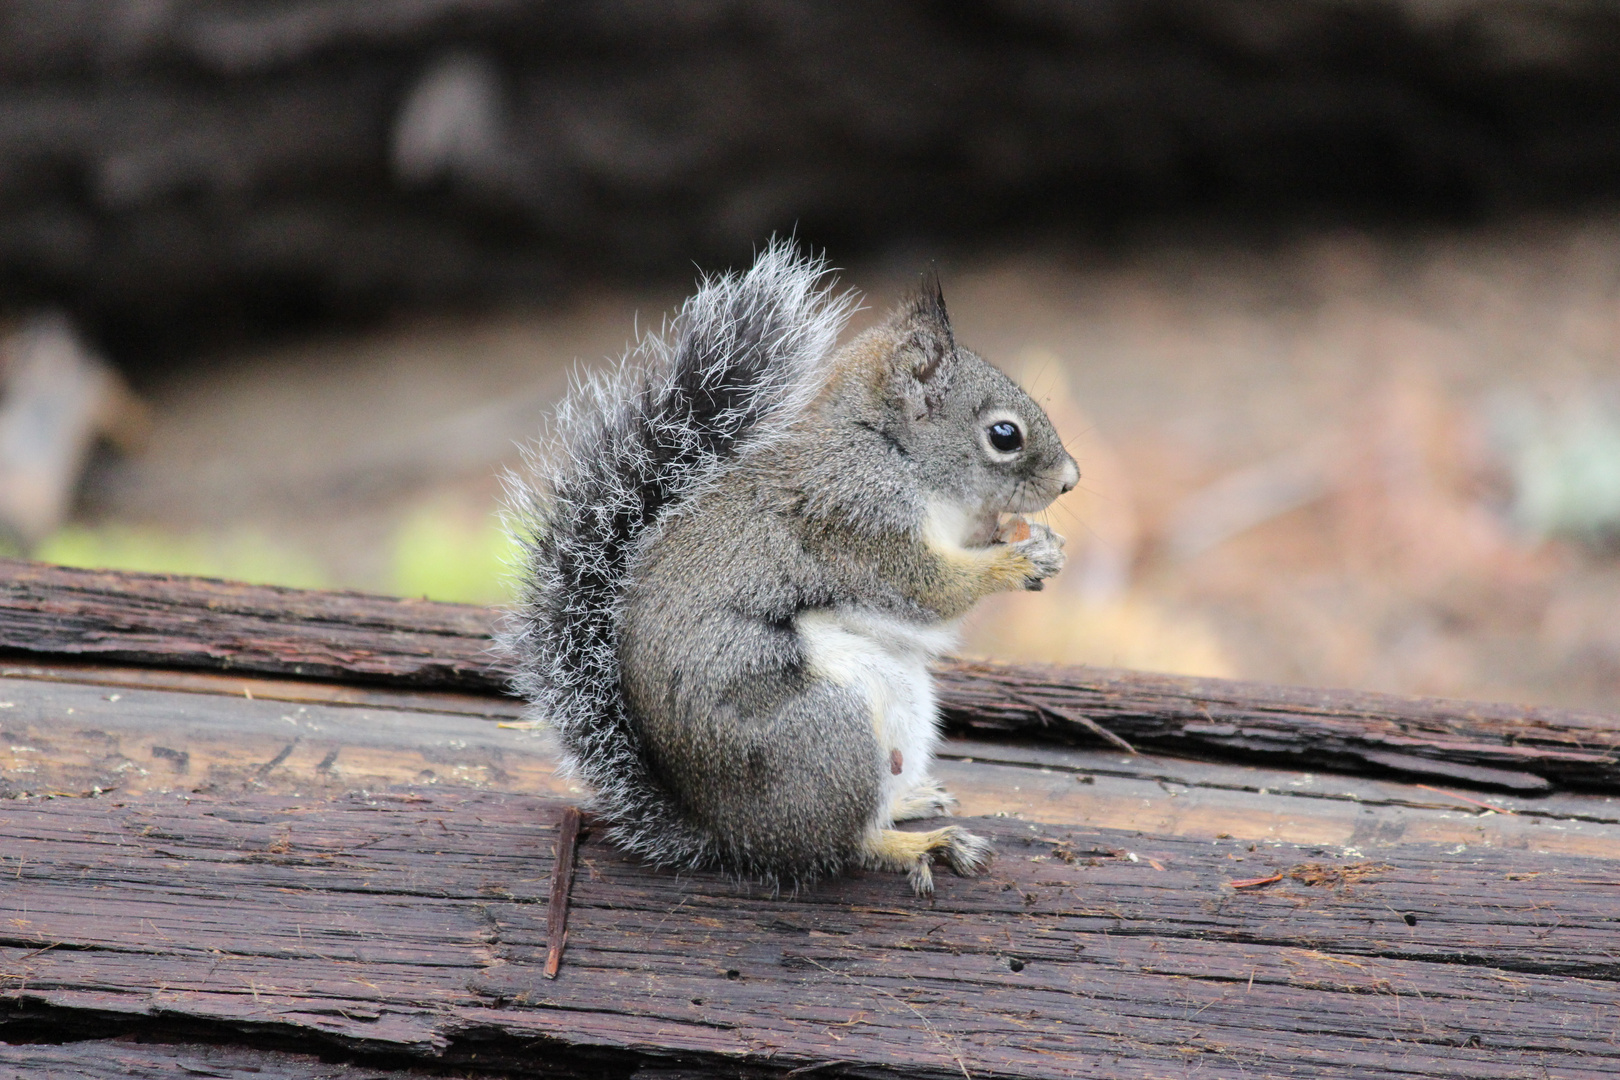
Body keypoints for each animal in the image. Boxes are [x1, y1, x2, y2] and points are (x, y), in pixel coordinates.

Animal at [502, 242, 1088, 893]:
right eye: (1004, 435)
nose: (1071, 480)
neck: (890, 451)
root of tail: (728, 833)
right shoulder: (857, 520)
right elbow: (929, 589)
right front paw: (1013, 560)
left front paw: (1027, 537)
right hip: (826, 732)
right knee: (844, 843)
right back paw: (918, 844)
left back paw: (909, 802)